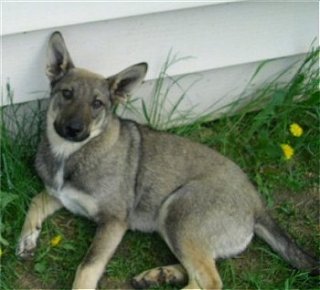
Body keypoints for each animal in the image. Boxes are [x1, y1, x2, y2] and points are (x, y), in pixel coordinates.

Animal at [16, 30, 318, 288]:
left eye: (97, 104)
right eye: (66, 94)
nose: (74, 129)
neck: (71, 154)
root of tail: (257, 203)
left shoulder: (114, 221)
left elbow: (87, 266)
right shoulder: (60, 194)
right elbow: (36, 200)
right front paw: (27, 239)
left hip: (176, 211)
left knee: (210, 281)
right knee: (202, 270)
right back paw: (161, 274)